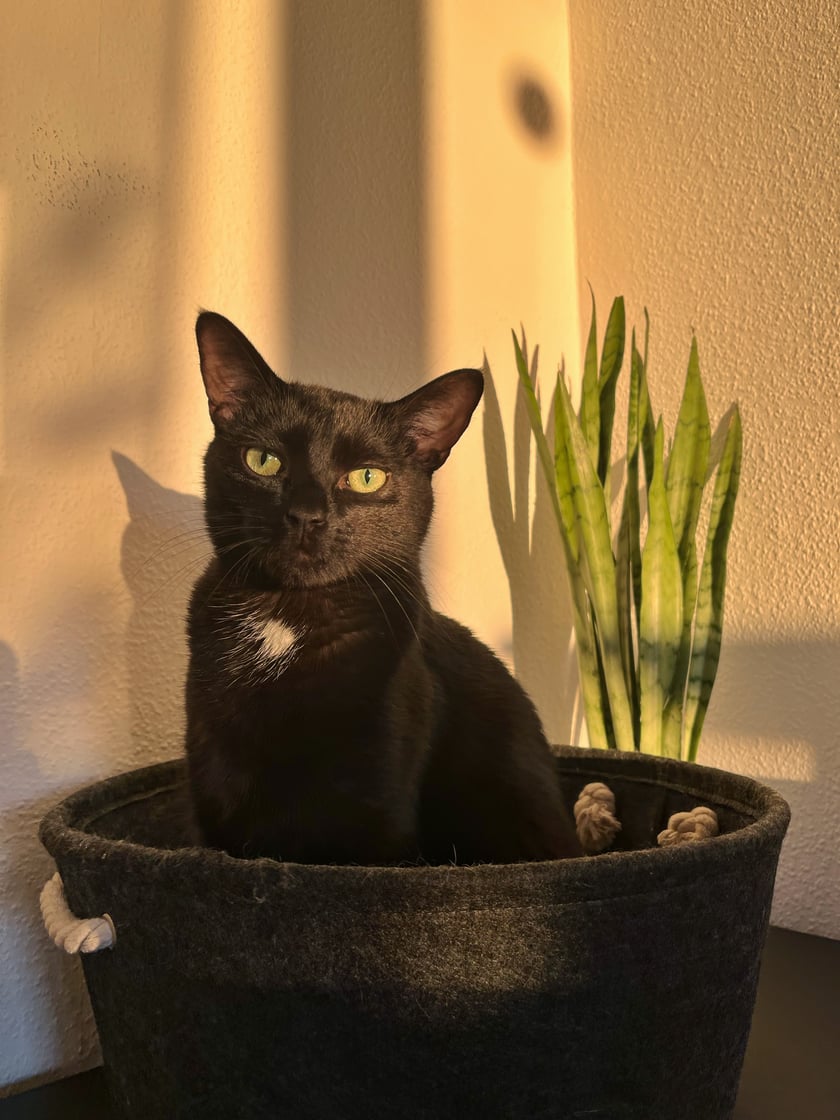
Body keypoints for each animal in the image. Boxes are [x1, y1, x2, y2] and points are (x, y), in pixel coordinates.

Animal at [185, 312, 580, 865]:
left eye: (366, 477)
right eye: (263, 461)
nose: (306, 516)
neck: (288, 618)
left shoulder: (373, 811)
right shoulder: (213, 793)